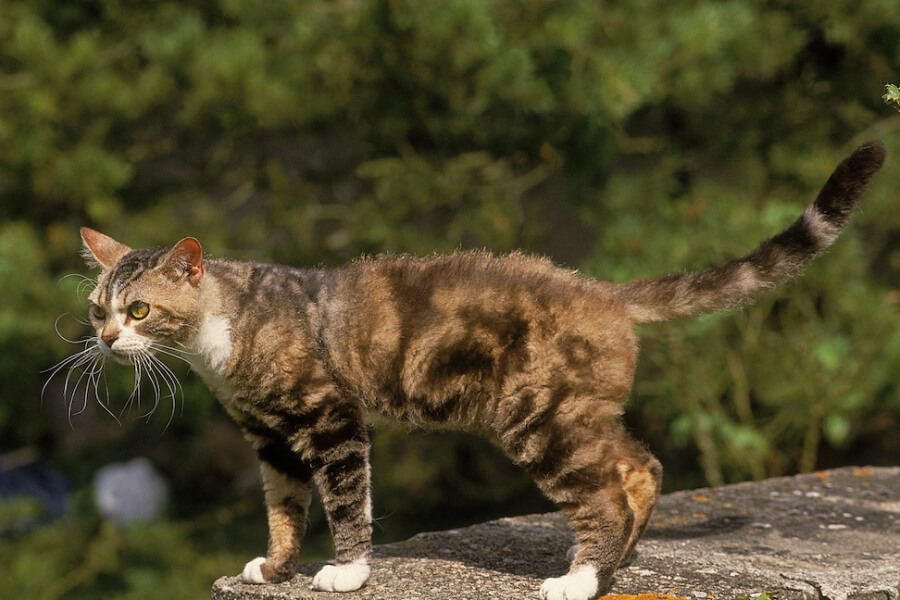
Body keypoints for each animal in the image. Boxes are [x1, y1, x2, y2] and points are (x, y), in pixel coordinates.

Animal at [67, 142, 884, 600]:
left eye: (139, 309)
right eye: (96, 306)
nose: (105, 339)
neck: (224, 339)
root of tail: (603, 289)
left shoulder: (331, 420)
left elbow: (345, 501)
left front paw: (346, 573)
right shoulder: (270, 439)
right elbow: (283, 508)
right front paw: (274, 568)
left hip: (539, 418)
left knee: (606, 486)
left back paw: (579, 580)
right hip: (578, 412)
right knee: (639, 465)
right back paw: (609, 564)